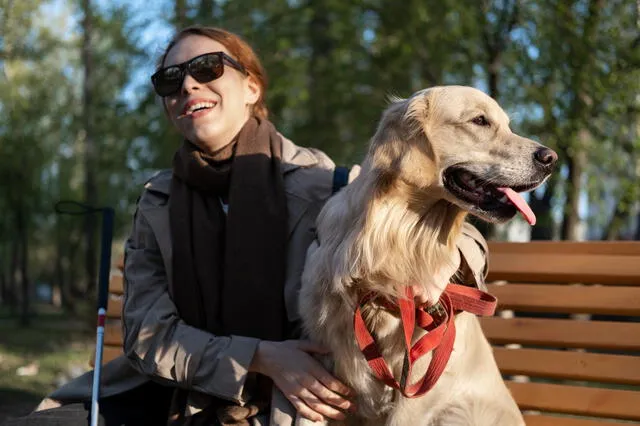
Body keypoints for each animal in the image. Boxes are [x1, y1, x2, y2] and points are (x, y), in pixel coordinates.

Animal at [300, 85, 556, 424]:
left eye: (507, 125)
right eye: (480, 121)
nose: (551, 158)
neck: (395, 236)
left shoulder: (420, 384)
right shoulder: (325, 357)